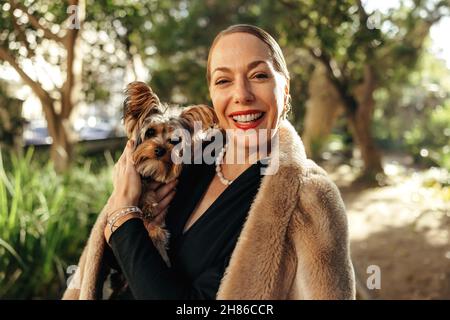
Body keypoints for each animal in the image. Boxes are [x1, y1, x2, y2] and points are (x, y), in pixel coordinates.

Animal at [121, 81, 216, 266]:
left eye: (175, 140)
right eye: (150, 132)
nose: (160, 150)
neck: (153, 171)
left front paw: (153, 224)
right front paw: (148, 208)